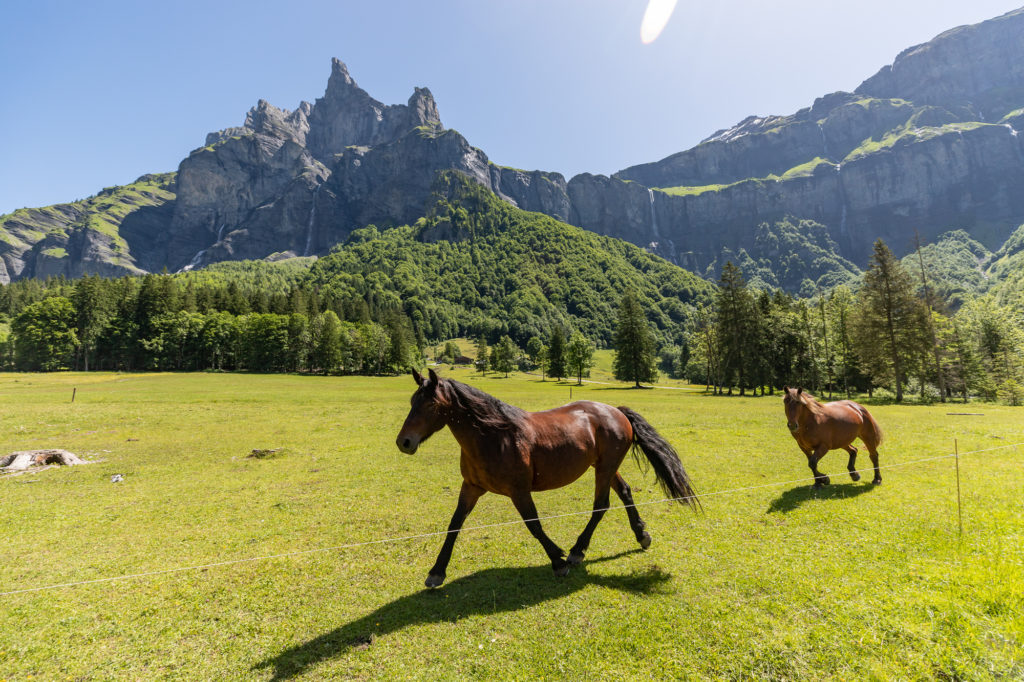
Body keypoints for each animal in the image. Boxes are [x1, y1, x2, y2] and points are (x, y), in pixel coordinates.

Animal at [395, 368, 700, 585]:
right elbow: (454, 525)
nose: (404, 442)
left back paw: (578, 551)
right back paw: (642, 535)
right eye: (411, 402)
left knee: (601, 505)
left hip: (604, 469)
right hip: (604, 467)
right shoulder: (470, 487)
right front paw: (437, 571)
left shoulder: (519, 491)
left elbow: (534, 526)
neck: (493, 436)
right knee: (624, 493)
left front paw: (558, 561)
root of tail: (616, 411)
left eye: (430, 405)